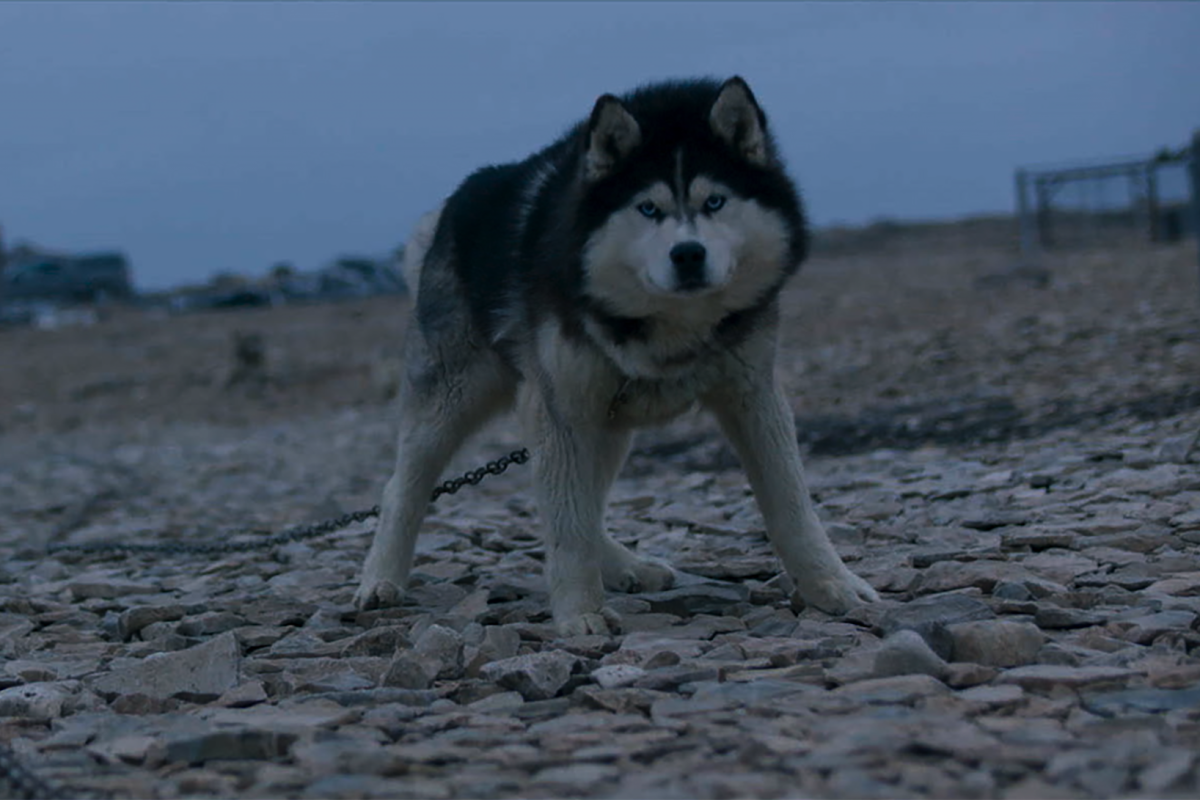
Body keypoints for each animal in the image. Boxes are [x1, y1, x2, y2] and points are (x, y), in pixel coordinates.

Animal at [350, 77, 878, 633]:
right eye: (647, 208)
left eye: (715, 201)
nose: (687, 254)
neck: (672, 328)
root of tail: (451, 208)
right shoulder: (559, 409)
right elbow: (568, 522)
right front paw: (579, 614)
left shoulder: (754, 396)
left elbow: (792, 505)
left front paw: (832, 584)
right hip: (453, 402)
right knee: (403, 487)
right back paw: (381, 580)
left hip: (609, 423)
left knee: (588, 501)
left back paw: (626, 566)